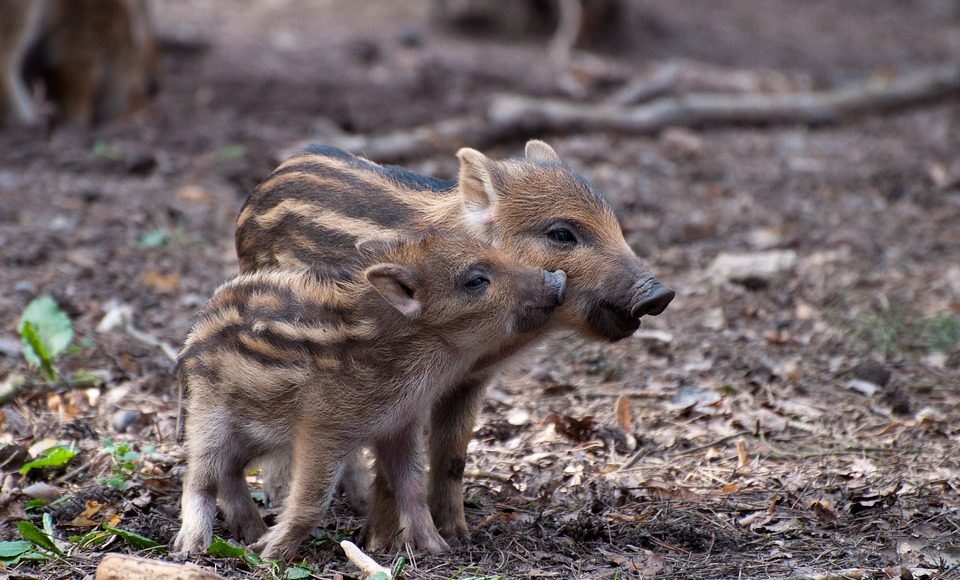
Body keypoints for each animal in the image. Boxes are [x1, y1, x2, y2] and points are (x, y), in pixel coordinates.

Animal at [174, 232, 567, 559]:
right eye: (475, 280)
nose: (557, 279)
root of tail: (194, 333)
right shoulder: (323, 428)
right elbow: (311, 501)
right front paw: (270, 554)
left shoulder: (400, 426)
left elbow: (412, 486)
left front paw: (437, 548)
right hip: (209, 416)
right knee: (199, 476)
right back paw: (193, 546)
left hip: (257, 432)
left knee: (230, 471)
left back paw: (251, 531)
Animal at [235, 140, 674, 545]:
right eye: (561, 233)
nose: (660, 294)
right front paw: (381, 544)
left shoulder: (470, 381)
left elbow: (451, 456)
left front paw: (458, 535)